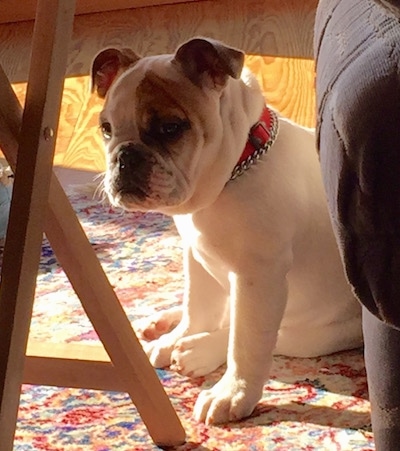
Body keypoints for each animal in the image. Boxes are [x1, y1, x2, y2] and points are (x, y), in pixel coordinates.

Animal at [90, 38, 362, 428]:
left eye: (171, 128)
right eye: (106, 129)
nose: (125, 157)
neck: (232, 172)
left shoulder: (257, 277)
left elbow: (245, 342)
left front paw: (232, 394)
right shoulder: (196, 257)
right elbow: (197, 307)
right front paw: (178, 334)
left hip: (319, 333)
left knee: (273, 335)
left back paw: (198, 350)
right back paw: (166, 326)